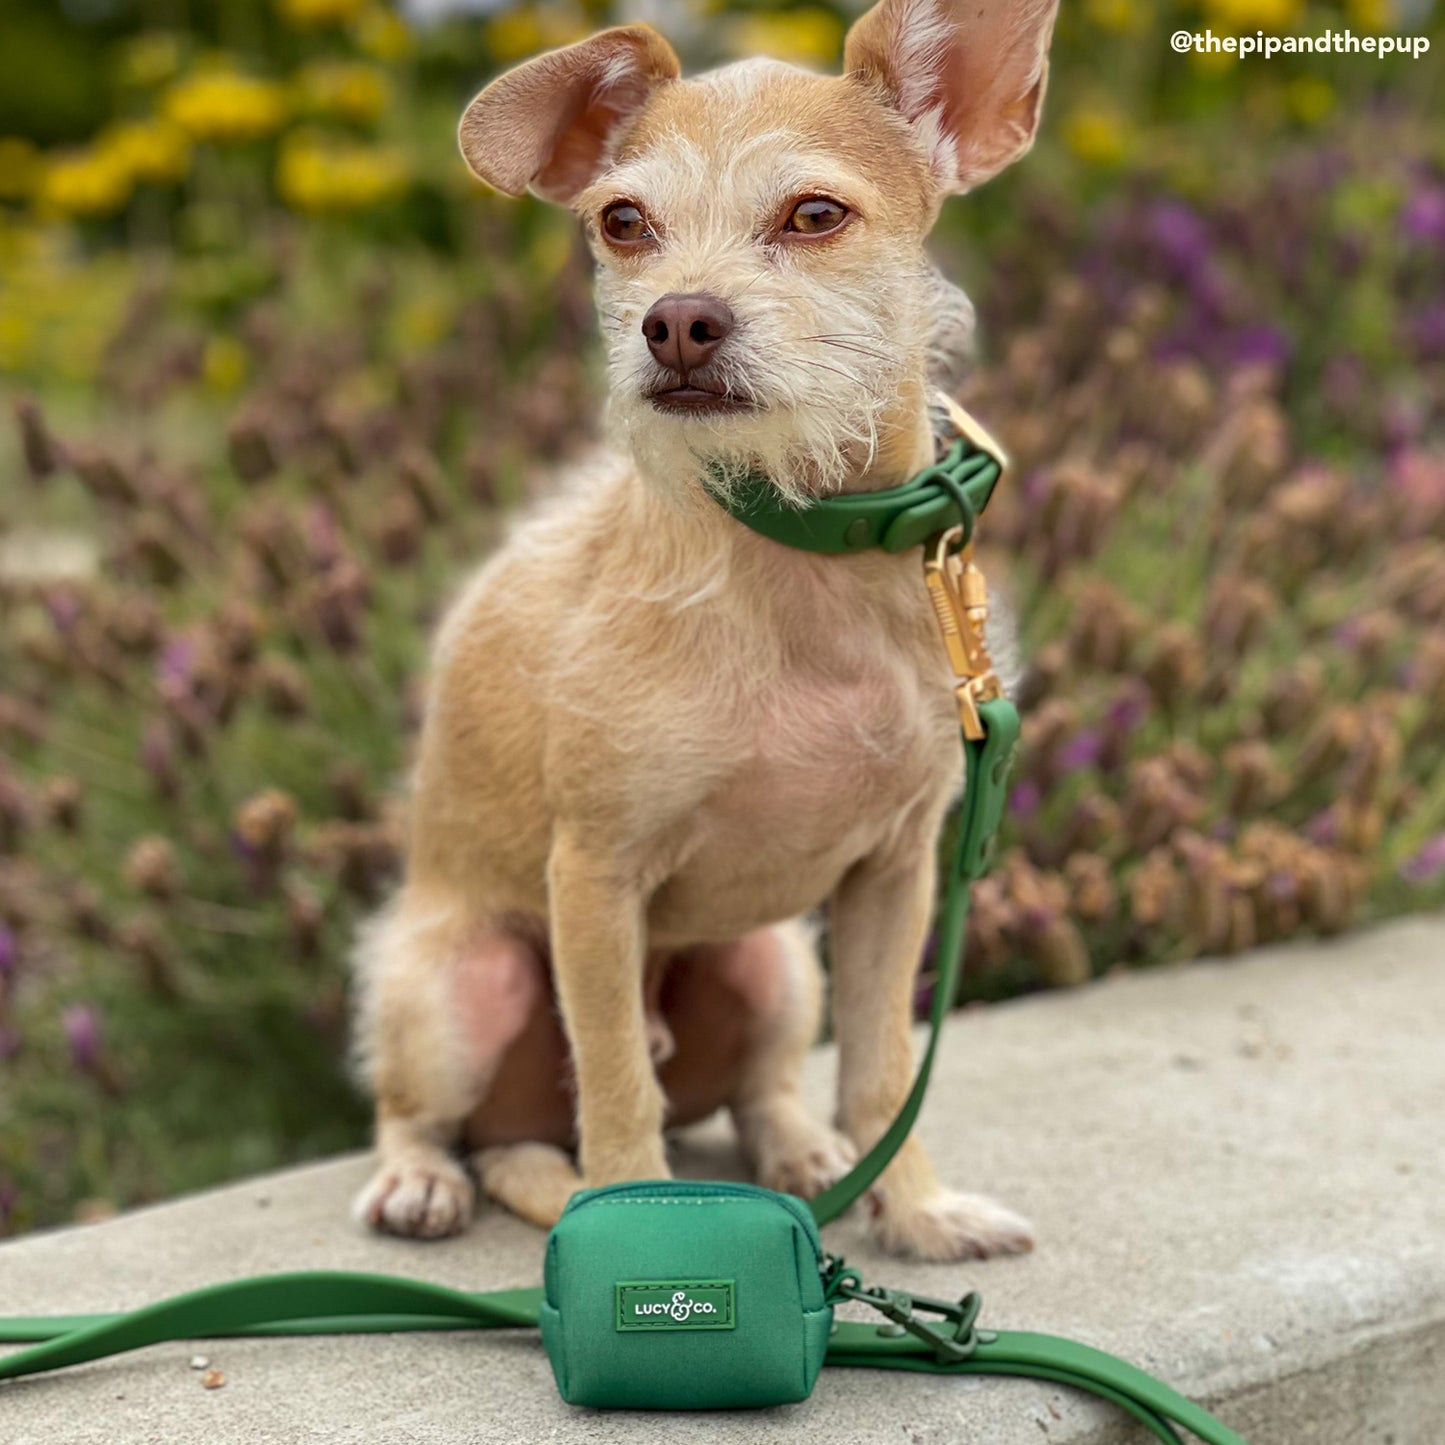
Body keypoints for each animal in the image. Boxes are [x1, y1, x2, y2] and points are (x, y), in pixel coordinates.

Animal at [354, 0, 1063, 1260]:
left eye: (815, 214)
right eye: (621, 222)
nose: (675, 322)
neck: (795, 553)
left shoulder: (893, 879)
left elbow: (881, 1071)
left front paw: (918, 1211)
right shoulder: (593, 879)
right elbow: (617, 1088)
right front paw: (631, 1222)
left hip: (776, 969)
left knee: (761, 1090)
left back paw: (807, 1158)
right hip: (460, 986)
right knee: (436, 1114)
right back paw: (419, 1180)